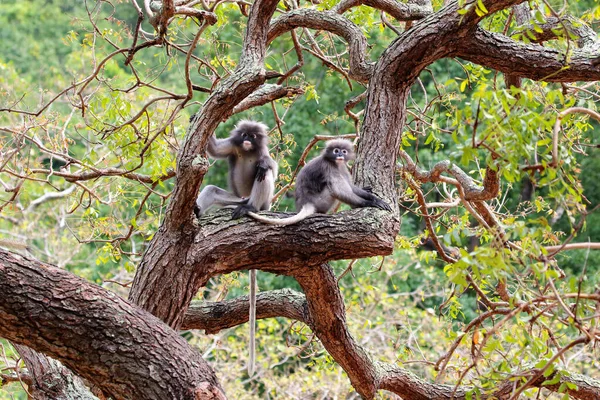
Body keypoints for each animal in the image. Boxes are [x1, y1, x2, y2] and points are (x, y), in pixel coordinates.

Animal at [193, 119, 278, 376]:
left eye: (254, 136)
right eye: (244, 135)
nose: (248, 140)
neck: (249, 152)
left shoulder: (263, 153)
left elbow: (270, 165)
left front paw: (264, 164)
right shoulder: (233, 146)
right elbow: (214, 151)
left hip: (262, 201)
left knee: (263, 174)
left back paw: (252, 207)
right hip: (232, 199)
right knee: (211, 190)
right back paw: (197, 212)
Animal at [246, 138, 392, 225]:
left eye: (344, 151)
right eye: (336, 150)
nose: (340, 155)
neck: (335, 163)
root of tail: (306, 203)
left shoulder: (342, 167)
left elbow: (351, 187)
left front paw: (371, 196)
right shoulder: (328, 167)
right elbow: (339, 191)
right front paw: (371, 202)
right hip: (322, 201)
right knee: (332, 189)